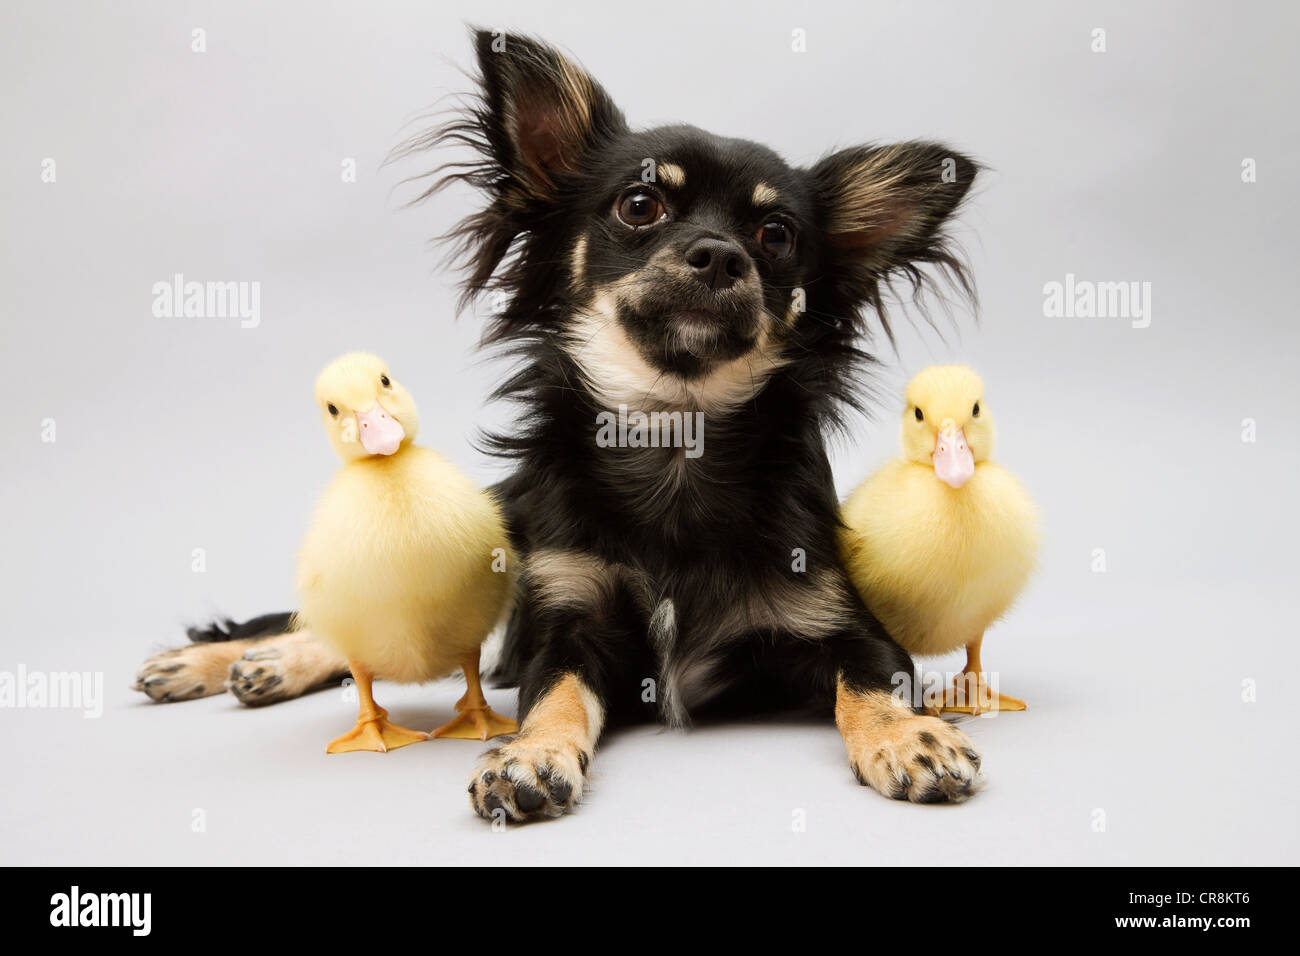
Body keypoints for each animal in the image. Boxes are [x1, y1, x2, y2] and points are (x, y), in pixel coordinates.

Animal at [134, 31, 982, 822]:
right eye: (640, 207)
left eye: (777, 236)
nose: (719, 255)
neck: (675, 435)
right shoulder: (565, 626)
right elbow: (555, 695)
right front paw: (530, 756)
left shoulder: (843, 626)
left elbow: (869, 685)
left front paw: (907, 737)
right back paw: (235, 662)